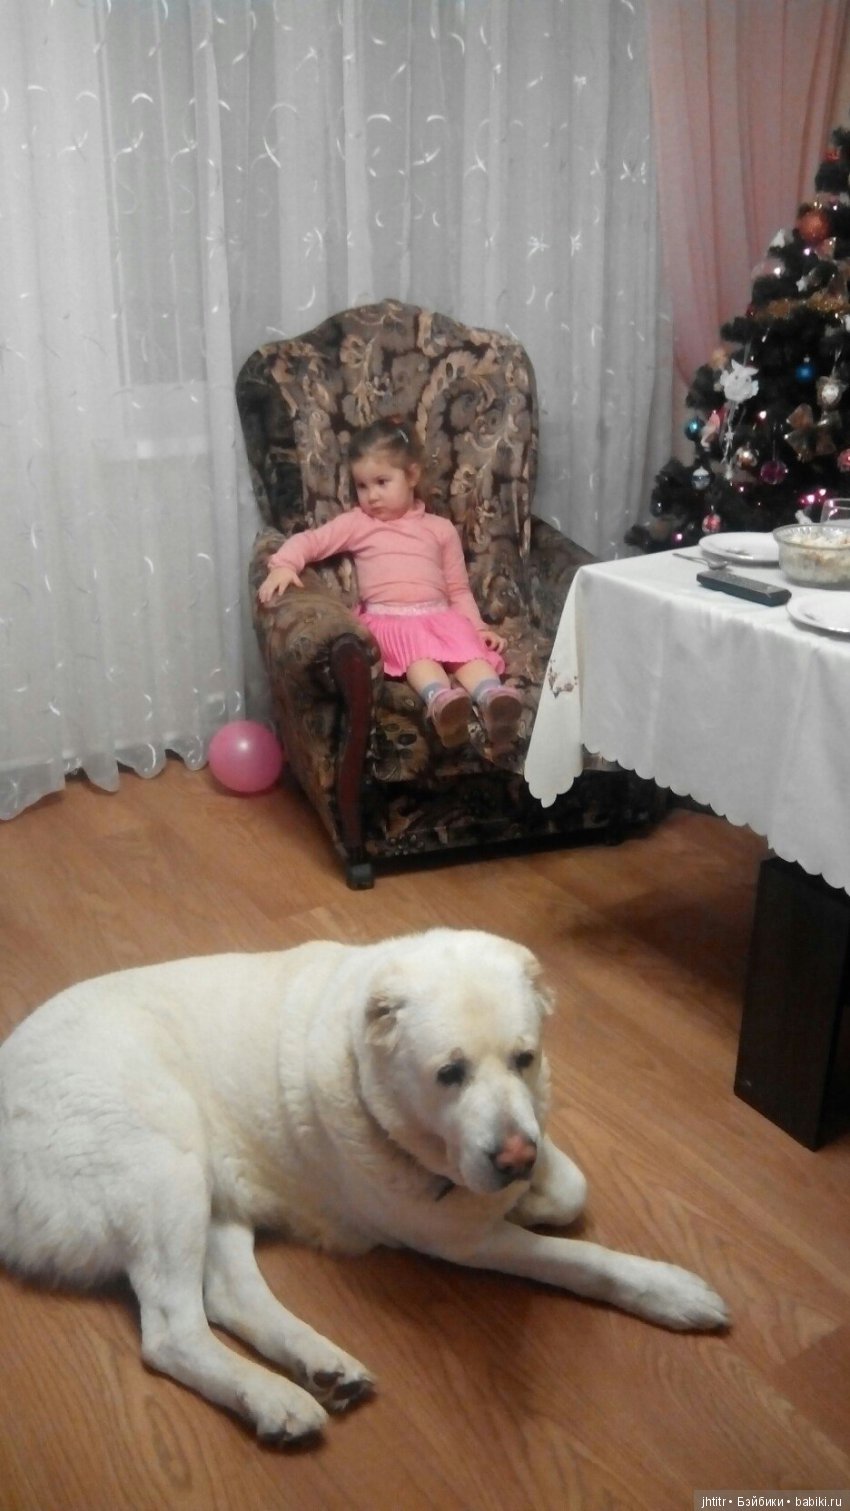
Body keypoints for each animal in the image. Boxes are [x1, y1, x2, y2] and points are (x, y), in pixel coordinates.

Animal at [0, 928, 728, 1443]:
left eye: (525, 1058)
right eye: (449, 1073)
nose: (516, 1158)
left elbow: (573, 1186)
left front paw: (542, 1193)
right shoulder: (456, 1239)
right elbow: (579, 1259)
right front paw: (670, 1290)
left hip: (214, 1192)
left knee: (230, 1296)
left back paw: (318, 1366)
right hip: (166, 1161)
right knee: (173, 1331)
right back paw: (274, 1398)